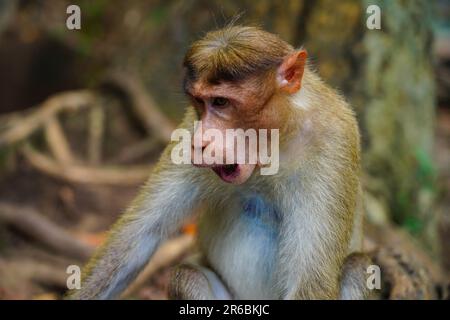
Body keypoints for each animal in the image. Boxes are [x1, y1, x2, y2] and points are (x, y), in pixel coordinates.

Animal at [67, 25, 370, 300]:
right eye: (200, 103)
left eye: (221, 102)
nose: (200, 142)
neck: (276, 144)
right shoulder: (190, 125)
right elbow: (136, 238)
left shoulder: (335, 141)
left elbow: (310, 281)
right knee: (186, 275)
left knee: (358, 268)